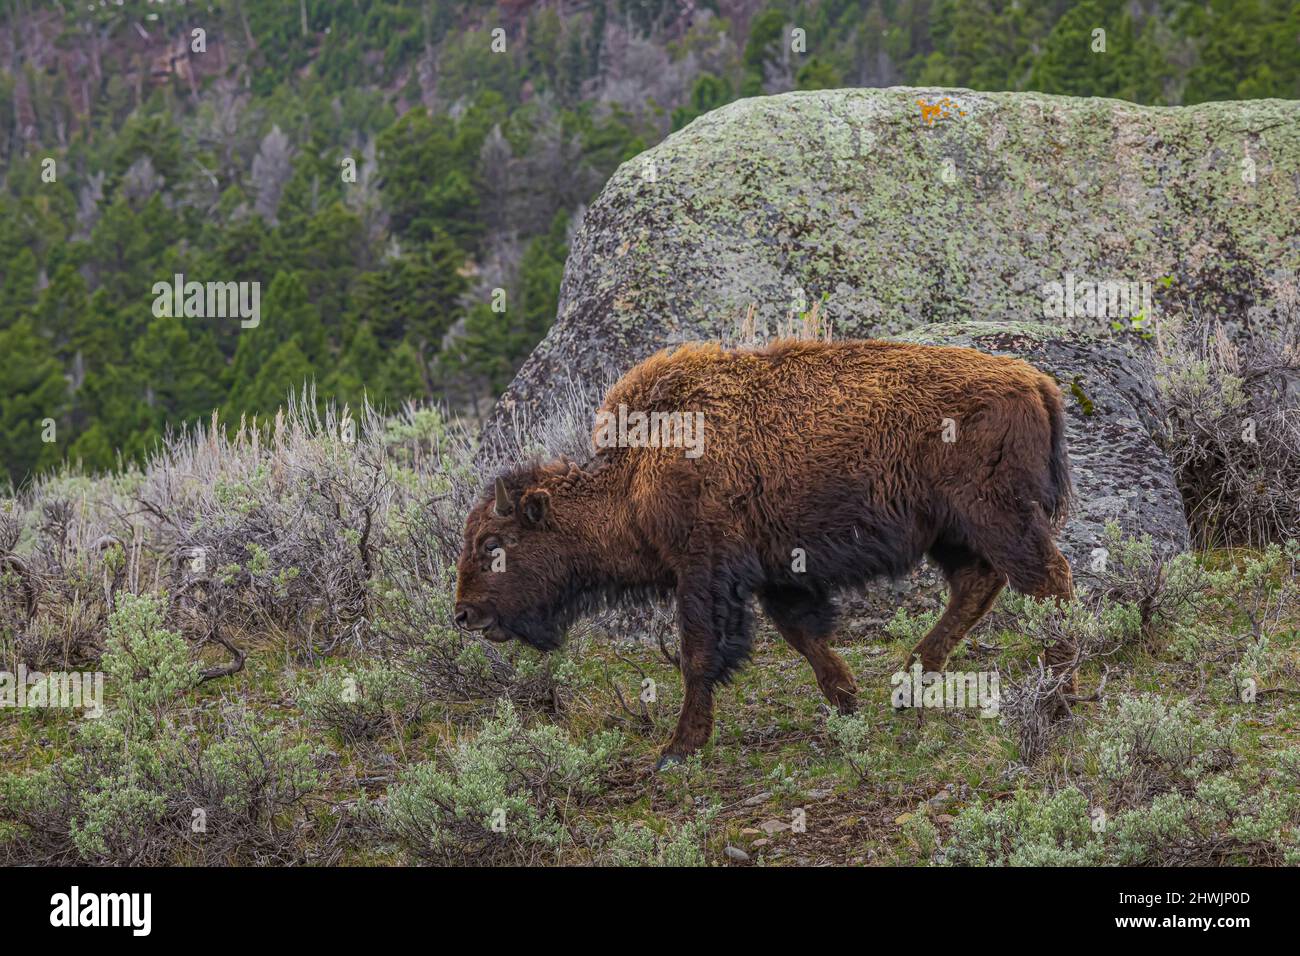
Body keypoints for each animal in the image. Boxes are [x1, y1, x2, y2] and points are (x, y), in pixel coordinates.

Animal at [455, 339, 1075, 767]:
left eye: (493, 544)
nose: (464, 614)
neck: (636, 470)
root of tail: (1035, 381)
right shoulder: (777, 573)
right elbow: (803, 635)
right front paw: (847, 702)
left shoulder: (703, 572)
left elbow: (699, 654)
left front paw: (677, 749)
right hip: (953, 531)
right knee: (980, 585)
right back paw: (910, 684)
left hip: (994, 518)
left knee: (1048, 581)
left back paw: (1056, 698)